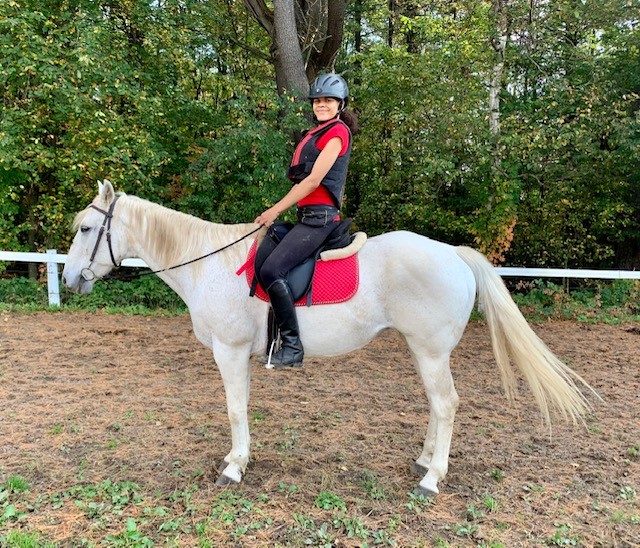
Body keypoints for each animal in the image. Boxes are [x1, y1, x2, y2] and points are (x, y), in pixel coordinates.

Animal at [61, 180, 596, 497]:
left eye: (86, 228)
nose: (68, 280)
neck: (209, 263)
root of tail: (455, 254)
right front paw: (238, 459)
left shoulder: (229, 352)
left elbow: (235, 409)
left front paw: (235, 467)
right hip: (422, 350)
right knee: (436, 404)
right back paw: (423, 461)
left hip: (430, 350)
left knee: (446, 404)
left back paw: (432, 477)